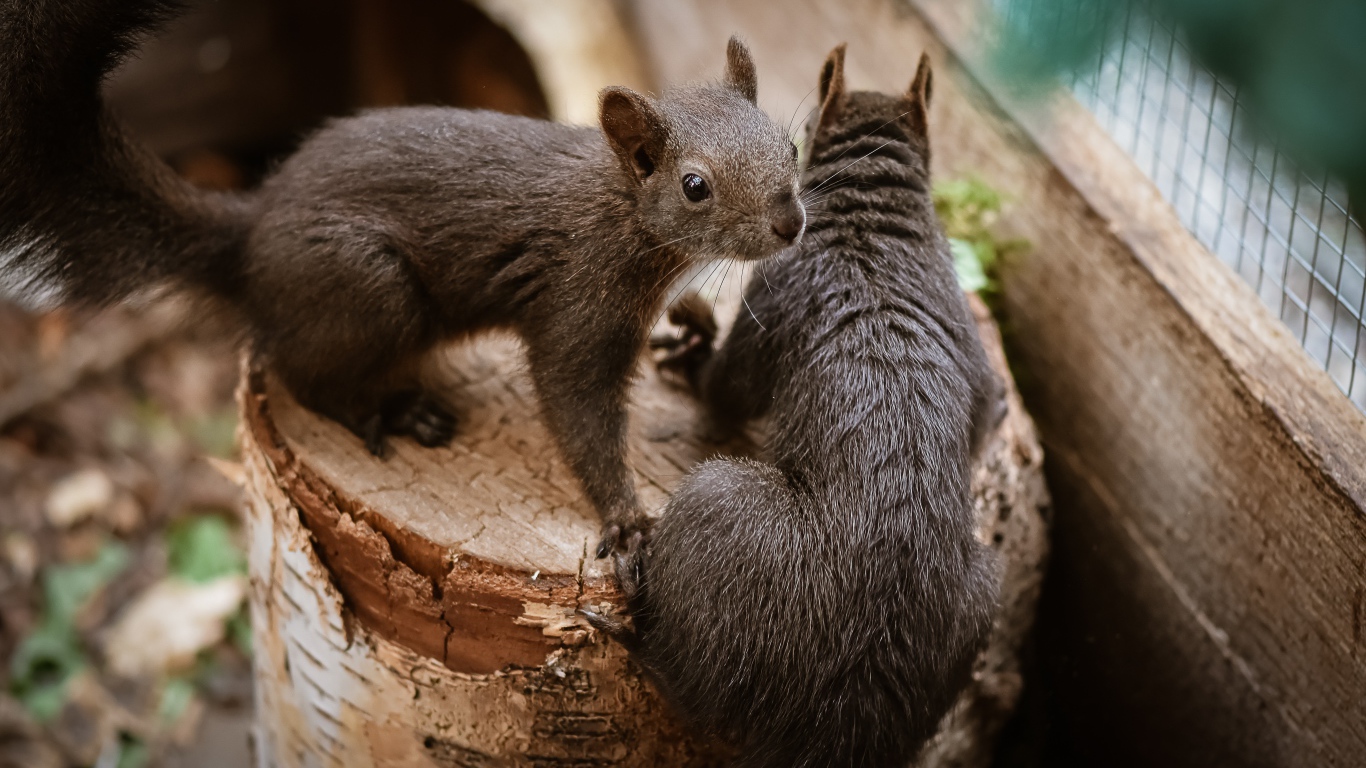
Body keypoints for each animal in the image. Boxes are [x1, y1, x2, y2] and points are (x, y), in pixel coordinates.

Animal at [0, 0, 803, 549]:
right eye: (695, 186)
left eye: (789, 146)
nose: (791, 223)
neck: (623, 212)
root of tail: (248, 236)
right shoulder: (578, 299)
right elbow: (577, 409)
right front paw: (627, 518)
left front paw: (693, 320)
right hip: (371, 288)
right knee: (300, 374)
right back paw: (391, 412)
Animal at [581, 46, 1010, 759]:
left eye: (795, 143)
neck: (876, 218)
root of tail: (839, 718)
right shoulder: (967, 334)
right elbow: (986, 413)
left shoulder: (780, 288)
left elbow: (727, 388)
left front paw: (695, 352)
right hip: (981, 600)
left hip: (719, 508)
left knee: (690, 687)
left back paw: (639, 620)